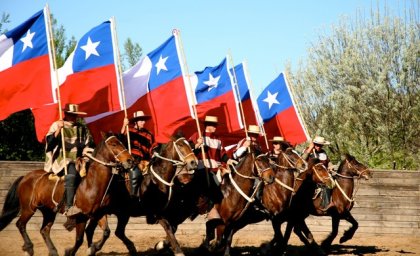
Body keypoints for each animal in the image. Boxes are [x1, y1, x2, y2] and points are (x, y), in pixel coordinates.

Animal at [0, 134, 133, 256]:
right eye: (114, 144)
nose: (130, 160)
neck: (91, 184)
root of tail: (25, 177)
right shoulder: (81, 217)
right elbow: (79, 240)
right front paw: (70, 251)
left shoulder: (98, 214)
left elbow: (105, 232)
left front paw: (93, 248)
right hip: (29, 208)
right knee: (20, 224)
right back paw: (29, 248)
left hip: (49, 211)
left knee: (44, 230)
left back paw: (53, 251)